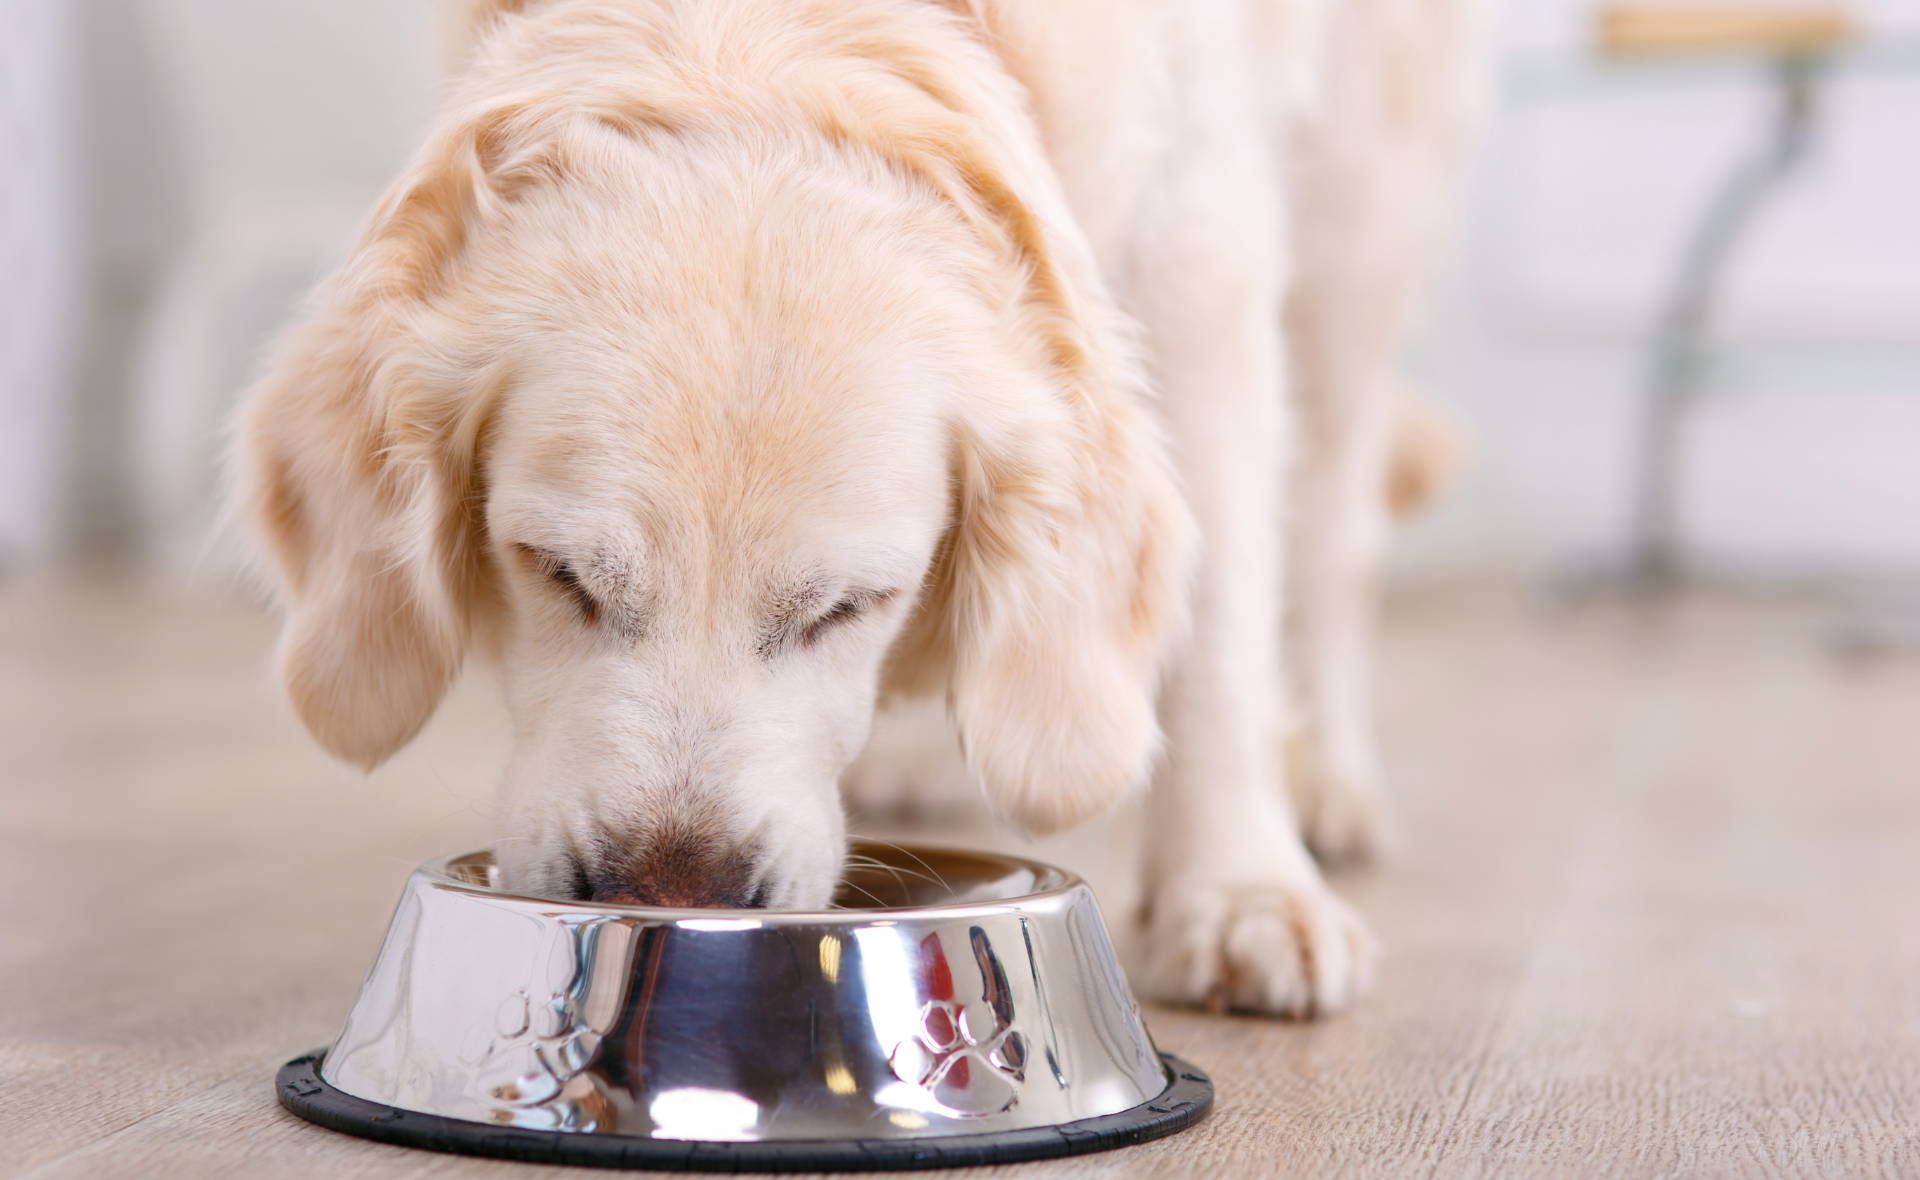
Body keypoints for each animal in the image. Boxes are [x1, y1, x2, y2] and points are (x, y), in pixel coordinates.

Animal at [232, 0, 1489, 1013]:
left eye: (850, 606)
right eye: (556, 571)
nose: (675, 894)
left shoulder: (1200, 238)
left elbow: (1222, 611)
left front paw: (1238, 889)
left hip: (1358, 214)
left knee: (1332, 526)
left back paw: (1325, 782)